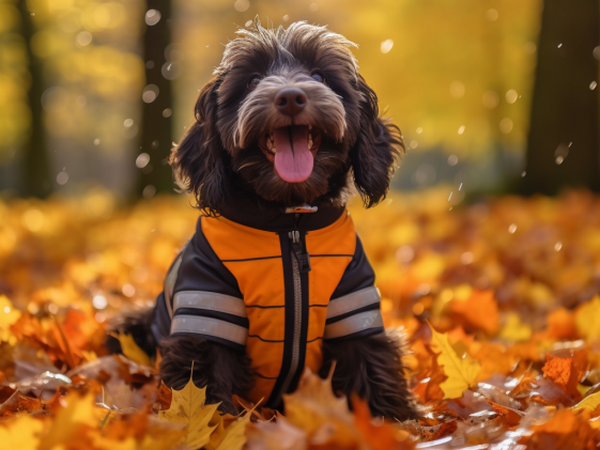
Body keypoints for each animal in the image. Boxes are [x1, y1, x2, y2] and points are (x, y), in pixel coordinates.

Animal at [116, 20, 418, 422]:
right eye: (253, 80)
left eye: (319, 75)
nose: (290, 97)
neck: (288, 221)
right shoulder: (207, 310)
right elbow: (205, 383)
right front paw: (216, 427)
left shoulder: (354, 306)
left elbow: (371, 365)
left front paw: (396, 421)